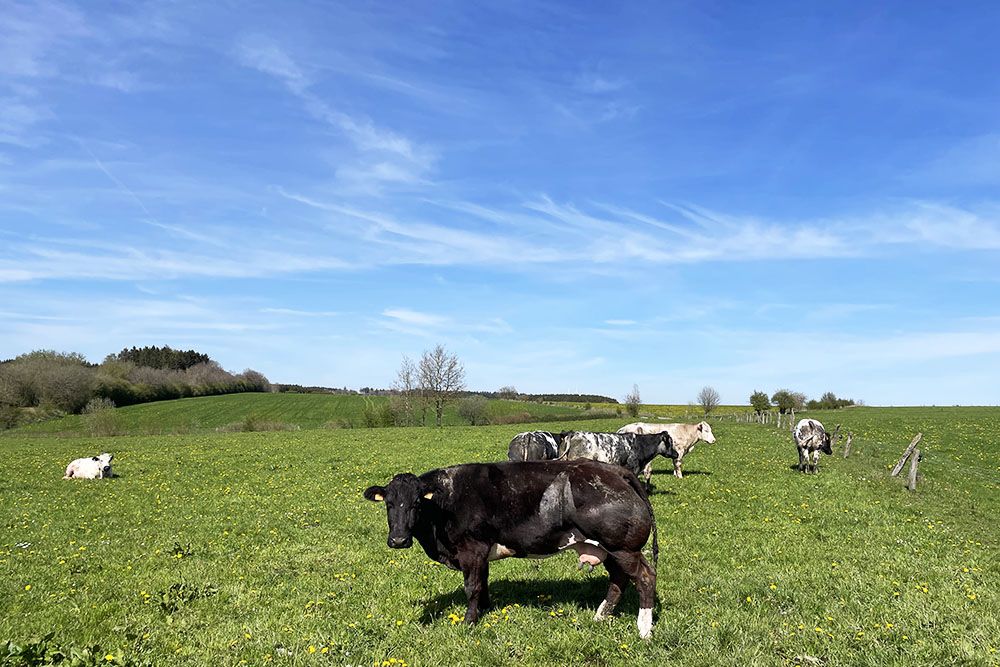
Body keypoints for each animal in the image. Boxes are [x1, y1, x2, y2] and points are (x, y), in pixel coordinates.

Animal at [364, 462, 660, 640]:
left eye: (416, 503)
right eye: (389, 504)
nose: (398, 539)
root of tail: (614, 470)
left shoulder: (472, 550)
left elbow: (472, 587)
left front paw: (468, 622)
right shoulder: (481, 555)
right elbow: (482, 584)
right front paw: (484, 610)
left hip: (623, 548)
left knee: (645, 577)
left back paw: (644, 629)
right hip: (608, 549)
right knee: (618, 580)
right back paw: (600, 616)